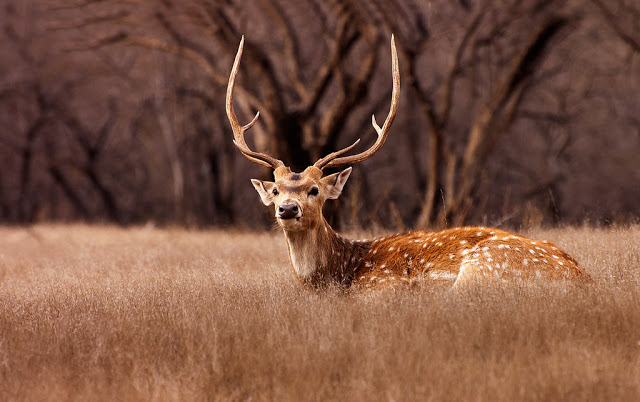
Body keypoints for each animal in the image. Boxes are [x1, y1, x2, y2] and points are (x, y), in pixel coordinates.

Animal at [225, 36, 592, 288]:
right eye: (276, 190)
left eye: (314, 190)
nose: (287, 208)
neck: (341, 273)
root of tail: (582, 279)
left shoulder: (380, 290)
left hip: (480, 273)